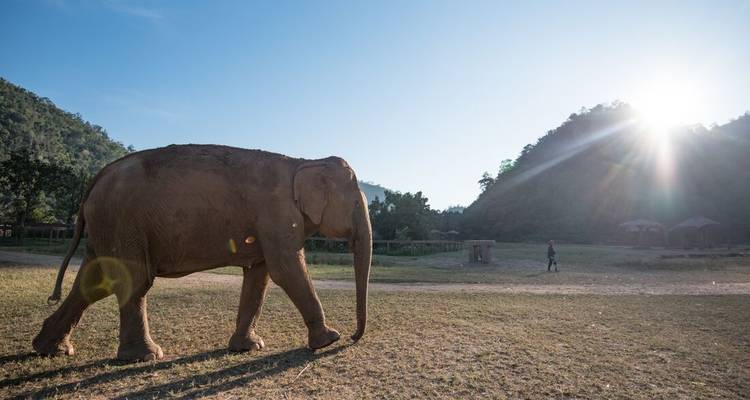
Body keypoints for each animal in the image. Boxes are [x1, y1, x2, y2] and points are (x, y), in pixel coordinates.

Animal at [32, 144, 372, 361]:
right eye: (357, 203)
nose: (354, 337)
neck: (304, 161)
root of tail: (97, 178)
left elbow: (259, 276)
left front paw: (249, 347)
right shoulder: (276, 213)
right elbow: (286, 268)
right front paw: (329, 340)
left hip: (107, 226)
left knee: (94, 283)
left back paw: (51, 349)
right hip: (122, 221)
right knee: (135, 279)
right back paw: (145, 356)